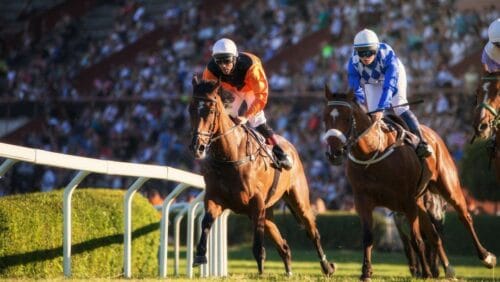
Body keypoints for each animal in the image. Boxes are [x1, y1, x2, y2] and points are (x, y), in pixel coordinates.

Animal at [188, 76, 336, 276]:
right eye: (190, 108)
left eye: (211, 110)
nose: (197, 147)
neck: (230, 156)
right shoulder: (215, 198)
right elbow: (205, 222)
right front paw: (200, 255)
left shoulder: (256, 203)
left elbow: (258, 245)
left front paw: (261, 272)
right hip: (268, 212)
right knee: (283, 245)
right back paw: (289, 271)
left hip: (299, 200)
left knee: (312, 232)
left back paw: (327, 266)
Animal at [322, 87, 494, 280]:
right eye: (325, 118)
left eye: (346, 118)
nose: (334, 153)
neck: (372, 153)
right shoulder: (363, 201)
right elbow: (368, 237)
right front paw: (366, 272)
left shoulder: (407, 201)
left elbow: (416, 239)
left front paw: (425, 272)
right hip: (420, 202)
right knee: (434, 235)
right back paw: (448, 269)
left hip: (448, 188)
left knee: (464, 217)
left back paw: (486, 257)